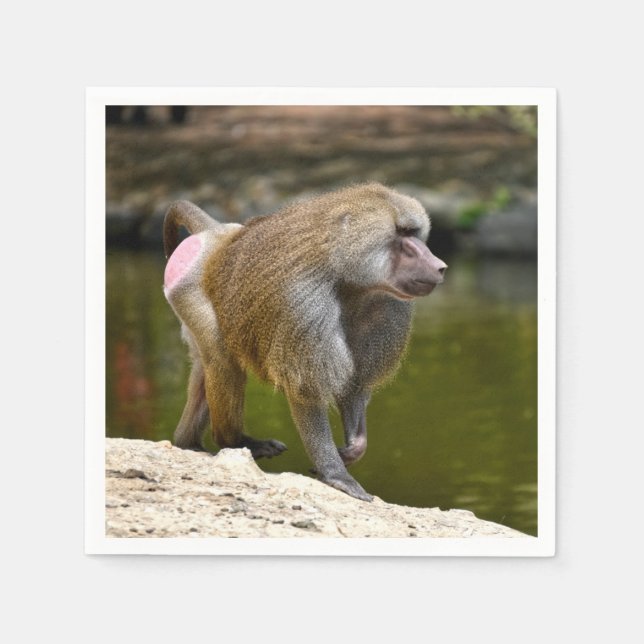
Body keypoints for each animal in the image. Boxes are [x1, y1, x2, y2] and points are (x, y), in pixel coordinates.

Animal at [162, 183, 447, 501]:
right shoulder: (304, 304)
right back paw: (234, 441)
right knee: (222, 358)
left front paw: (351, 450)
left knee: (207, 363)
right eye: (402, 235)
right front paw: (337, 475)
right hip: (188, 287)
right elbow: (306, 390)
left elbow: (355, 385)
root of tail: (217, 234)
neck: (348, 281)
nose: (440, 267)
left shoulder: (384, 309)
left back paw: (188, 443)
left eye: (414, 233)